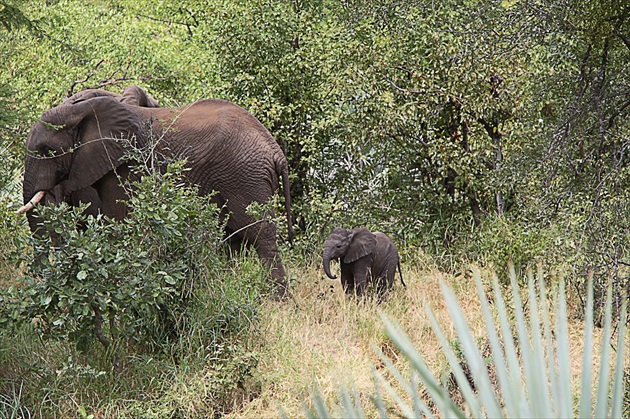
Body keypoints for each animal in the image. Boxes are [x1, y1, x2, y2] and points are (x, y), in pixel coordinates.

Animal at [18, 88, 296, 298]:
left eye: (47, 151)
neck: (83, 110)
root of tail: (276, 151)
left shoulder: (127, 166)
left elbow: (118, 221)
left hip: (246, 178)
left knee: (261, 236)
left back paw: (276, 300)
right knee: (235, 240)